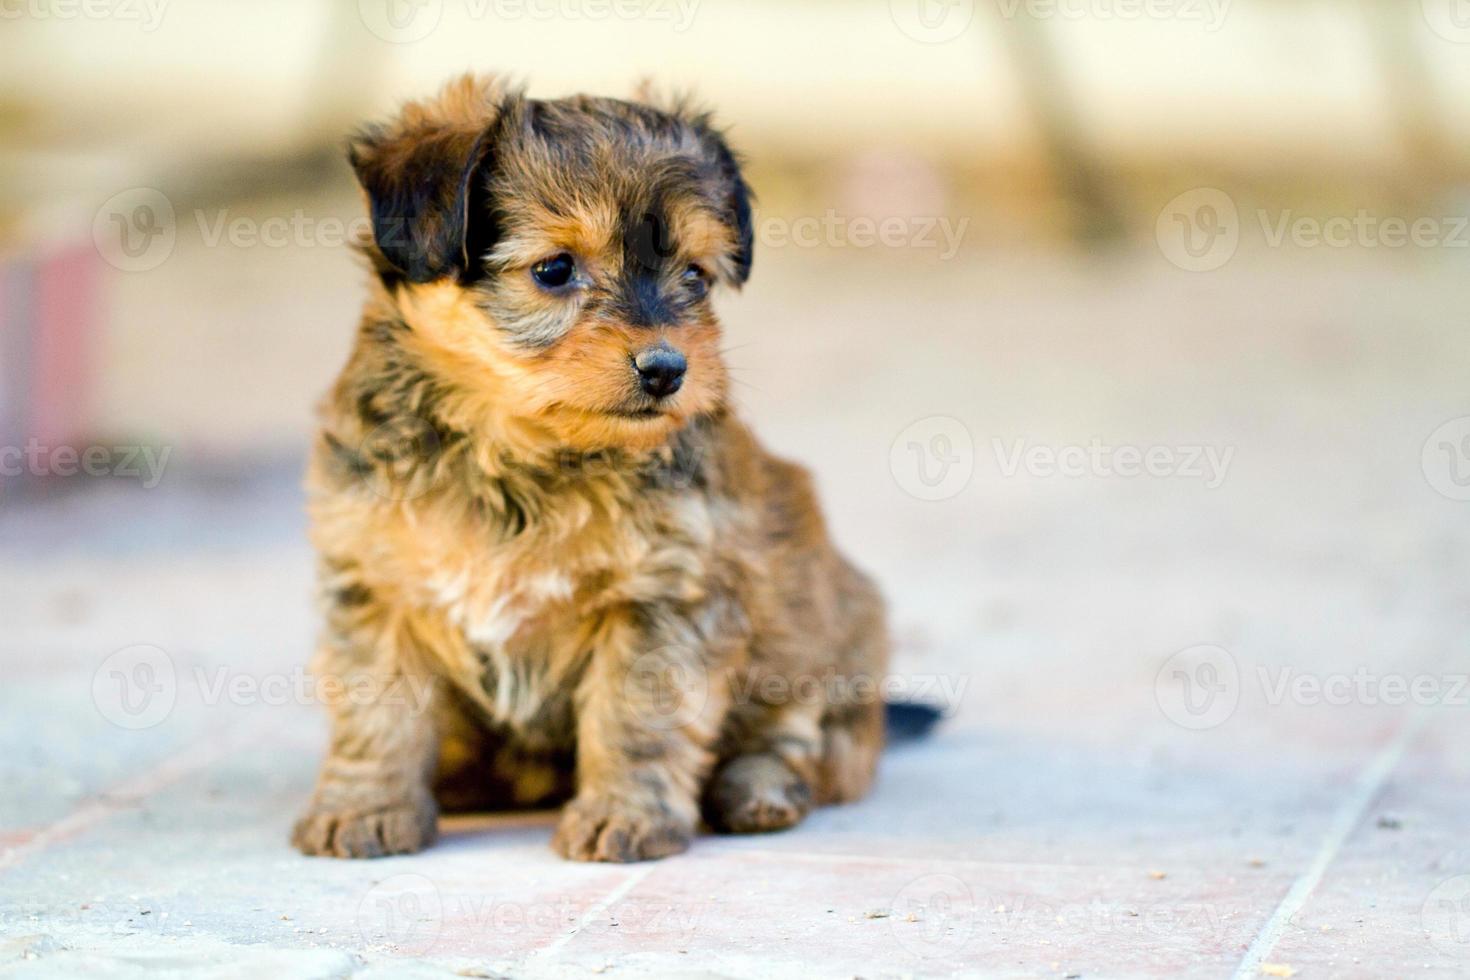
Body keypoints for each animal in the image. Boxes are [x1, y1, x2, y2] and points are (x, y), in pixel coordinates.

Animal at [289, 72, 917, 863]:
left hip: (829, 632)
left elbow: (635, 716)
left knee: (811, 737)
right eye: (555, 270)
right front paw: (366, 806)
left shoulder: (661, 598)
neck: (514, 457)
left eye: (694, 277)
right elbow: (379, 707)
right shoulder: (375, 582)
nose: (668, 369)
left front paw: (628, 815)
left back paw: (759, 788)